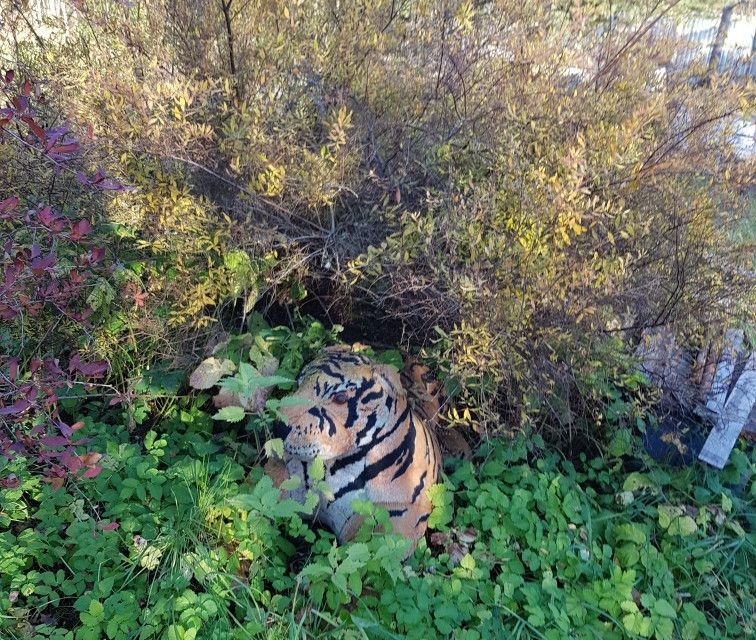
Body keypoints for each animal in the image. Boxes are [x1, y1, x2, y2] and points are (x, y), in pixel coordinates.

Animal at [268, 348, 440, 552]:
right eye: (299, 383)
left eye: (340, 397)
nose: (279, 428)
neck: (340, 463)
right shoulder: (283, 473)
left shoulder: (398, 514)